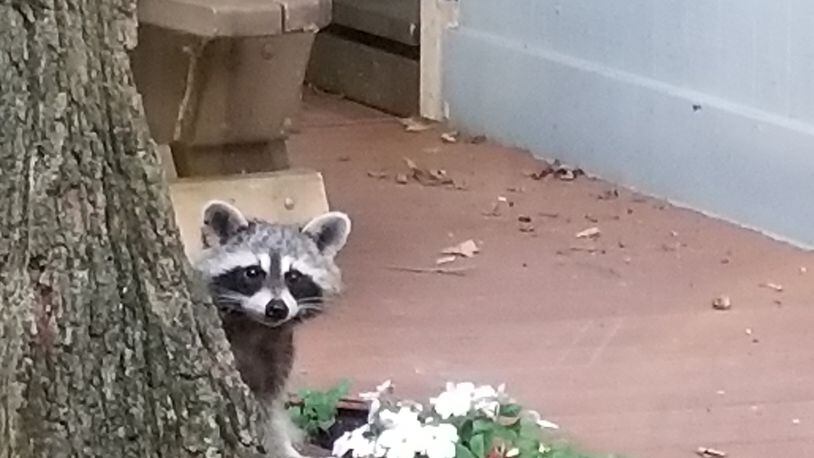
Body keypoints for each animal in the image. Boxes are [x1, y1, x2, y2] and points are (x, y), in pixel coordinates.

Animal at [194, 201, 354, 458]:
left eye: (294, 277)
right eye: (252, 272)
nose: (277, 309)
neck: (256, 326)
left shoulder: (277, 351)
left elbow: (269, 405)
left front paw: (279, 443)